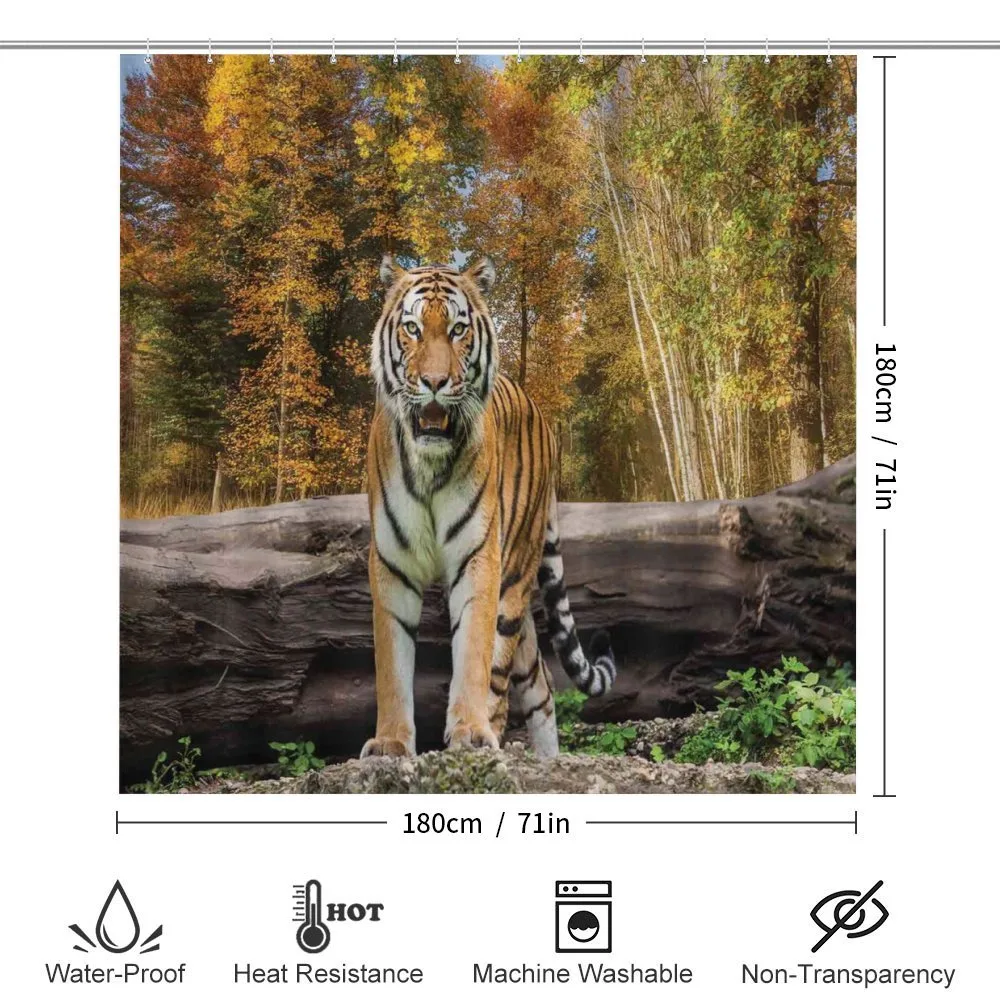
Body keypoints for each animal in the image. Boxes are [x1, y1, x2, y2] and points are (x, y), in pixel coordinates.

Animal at [360, 254, 615, 760]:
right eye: (412, 328)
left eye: (458, 329)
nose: (434, 382)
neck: (430, 465)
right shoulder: (392, 564)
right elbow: (391, 665)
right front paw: (390, 743)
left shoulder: (480, 558)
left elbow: (474, 654)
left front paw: (470, 732)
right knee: (541, 683)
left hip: (514, 574)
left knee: (505, 673)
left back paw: (494, 737)